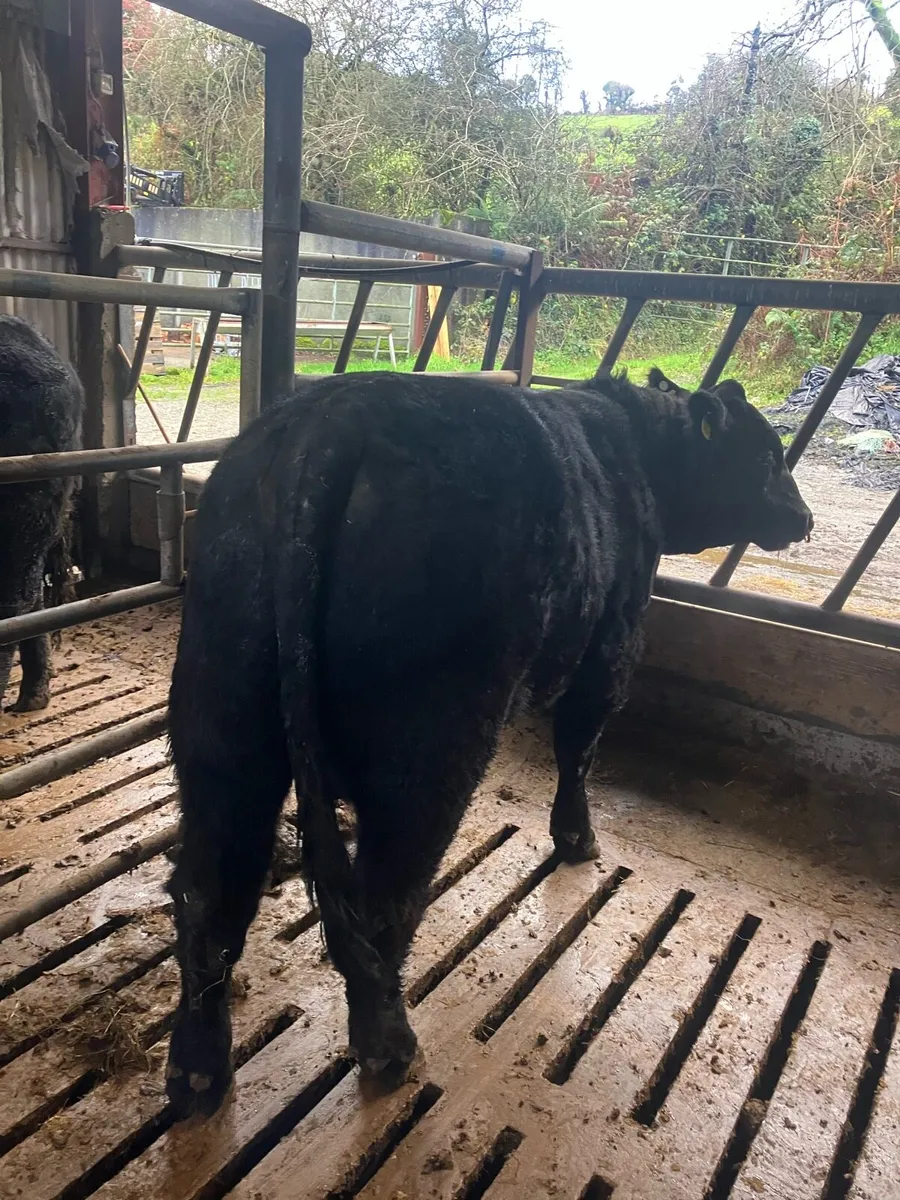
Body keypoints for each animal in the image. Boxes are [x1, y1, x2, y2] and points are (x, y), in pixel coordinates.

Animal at [164, 366, 812, 1117]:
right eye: (767, 455)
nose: (804, 517)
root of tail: (334, 417)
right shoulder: (612, 642)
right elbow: (579, 746)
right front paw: (577, 839)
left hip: (223, 727)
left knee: (210, 896)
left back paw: (199, 1070)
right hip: (430, 748)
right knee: (385, 896)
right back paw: (389, 1046)